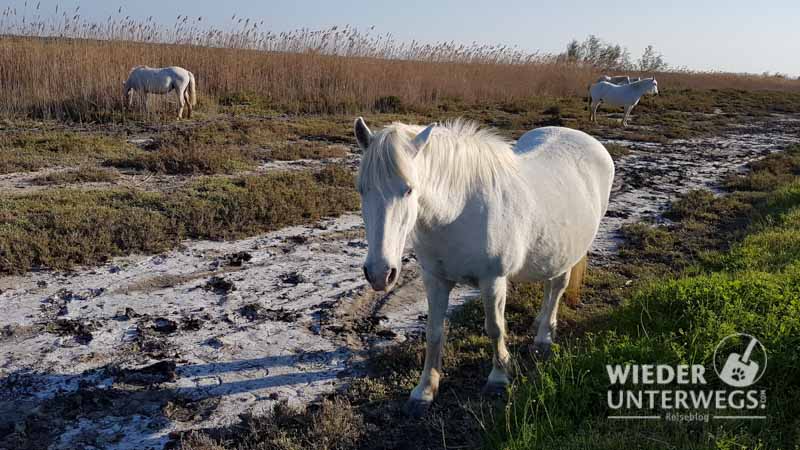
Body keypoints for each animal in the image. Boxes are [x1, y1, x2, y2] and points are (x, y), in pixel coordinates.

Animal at [354, 118, 612, 416]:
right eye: (362, 189)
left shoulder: (493, 281)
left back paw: (544, 338)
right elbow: (434, 332)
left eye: (408, 189)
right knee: (550, 285)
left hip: (570, 253)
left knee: (557, 287)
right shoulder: (435, 279)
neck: (458, 210)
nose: (379, 273)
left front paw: (498, 378)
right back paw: (539, 324)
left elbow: (495, 327)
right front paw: (424, 391)